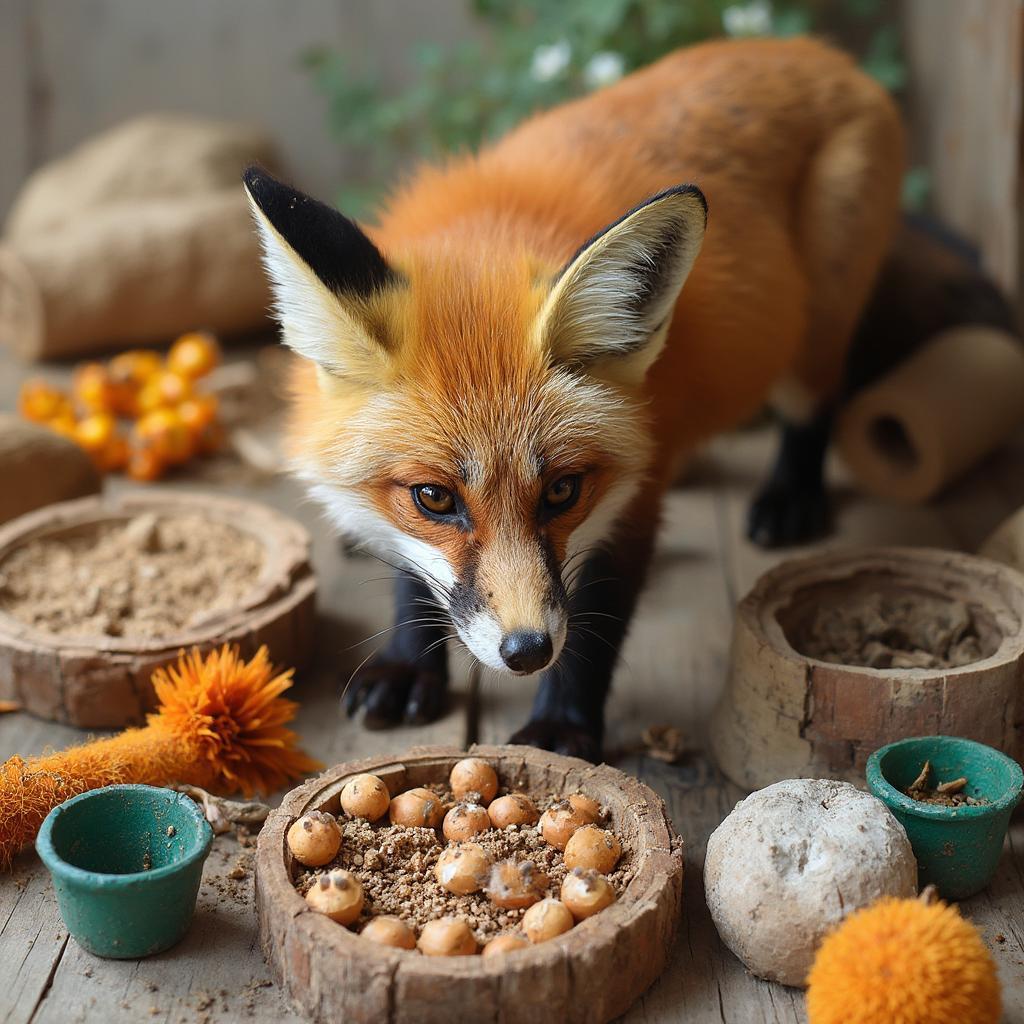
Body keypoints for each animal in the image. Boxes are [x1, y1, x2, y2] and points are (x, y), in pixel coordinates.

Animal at [243, 36, 909, 757]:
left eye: (562, 490)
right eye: (434, 498)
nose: (527, 651)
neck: (490, 235)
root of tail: (813, 50)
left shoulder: (637, 487)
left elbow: (599, 618)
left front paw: (560, 727)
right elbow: (409, 570)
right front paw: (408, 663)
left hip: (812, 334)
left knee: (816, 405)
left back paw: (791, 497)